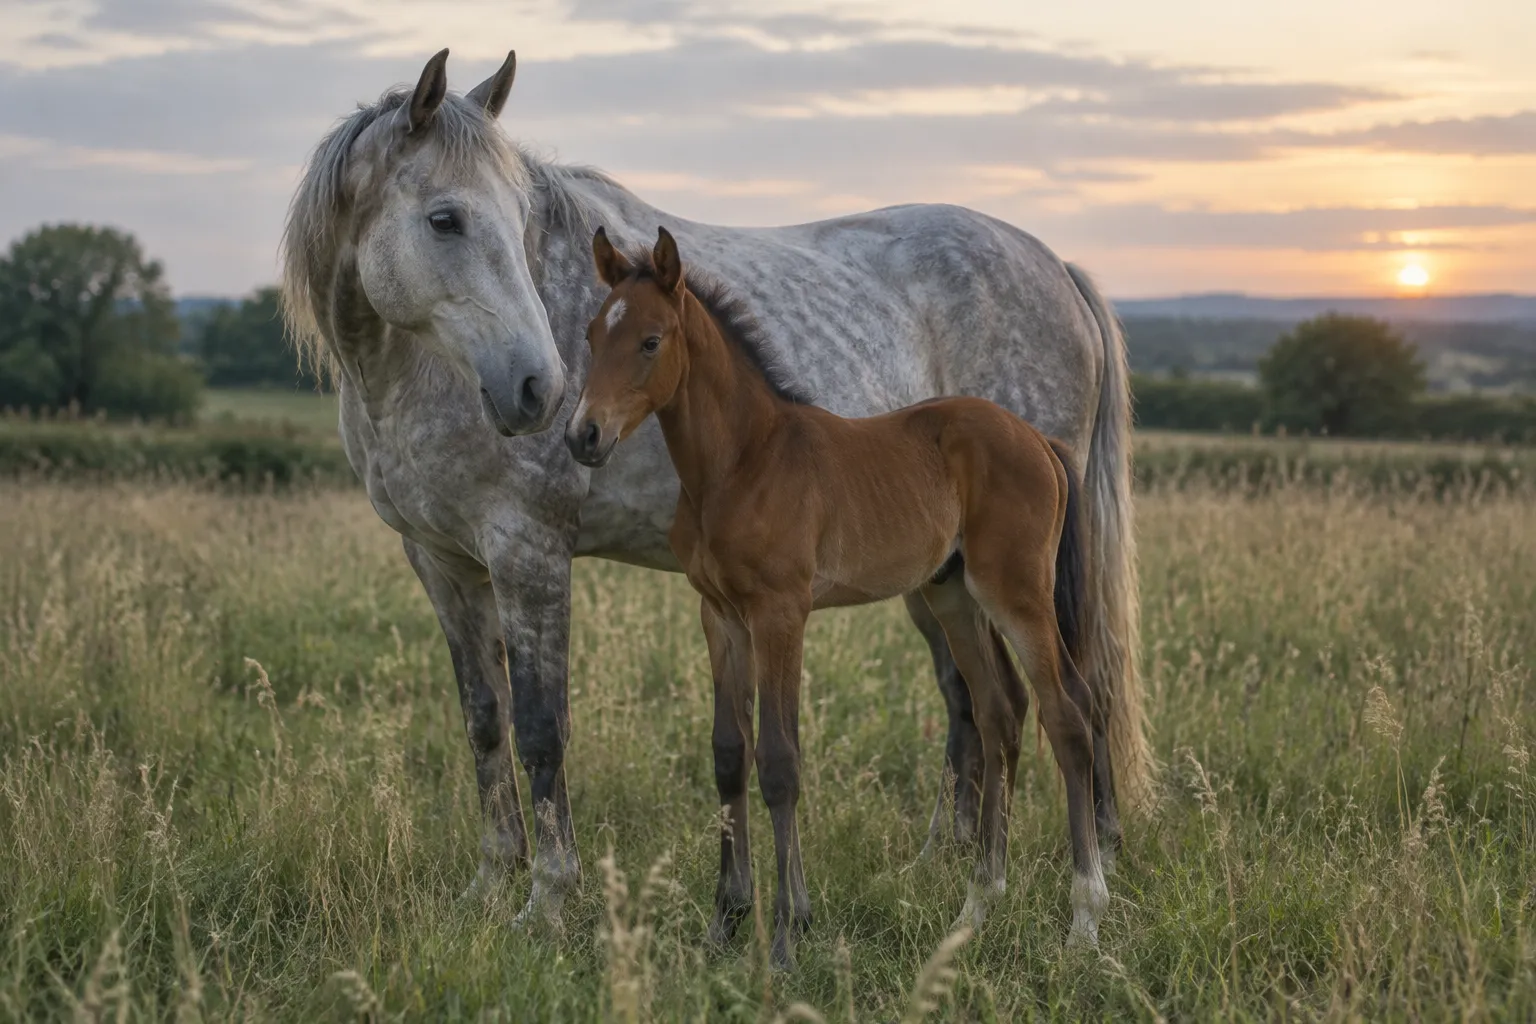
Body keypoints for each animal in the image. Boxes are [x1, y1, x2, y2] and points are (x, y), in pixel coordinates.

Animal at [279, 47, 1149, 935]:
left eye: (519, 221)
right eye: (445, 219)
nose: (539, 391)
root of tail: (1057, 269)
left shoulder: (528, 554)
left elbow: (541, 728)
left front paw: (547, 899)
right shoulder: (441, 562)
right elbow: (484, 722)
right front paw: (491, 885)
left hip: (1016, 579)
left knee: (1077, 694)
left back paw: (1090, 872)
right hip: (942, 577)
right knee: (975, 703)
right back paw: (944, 869)